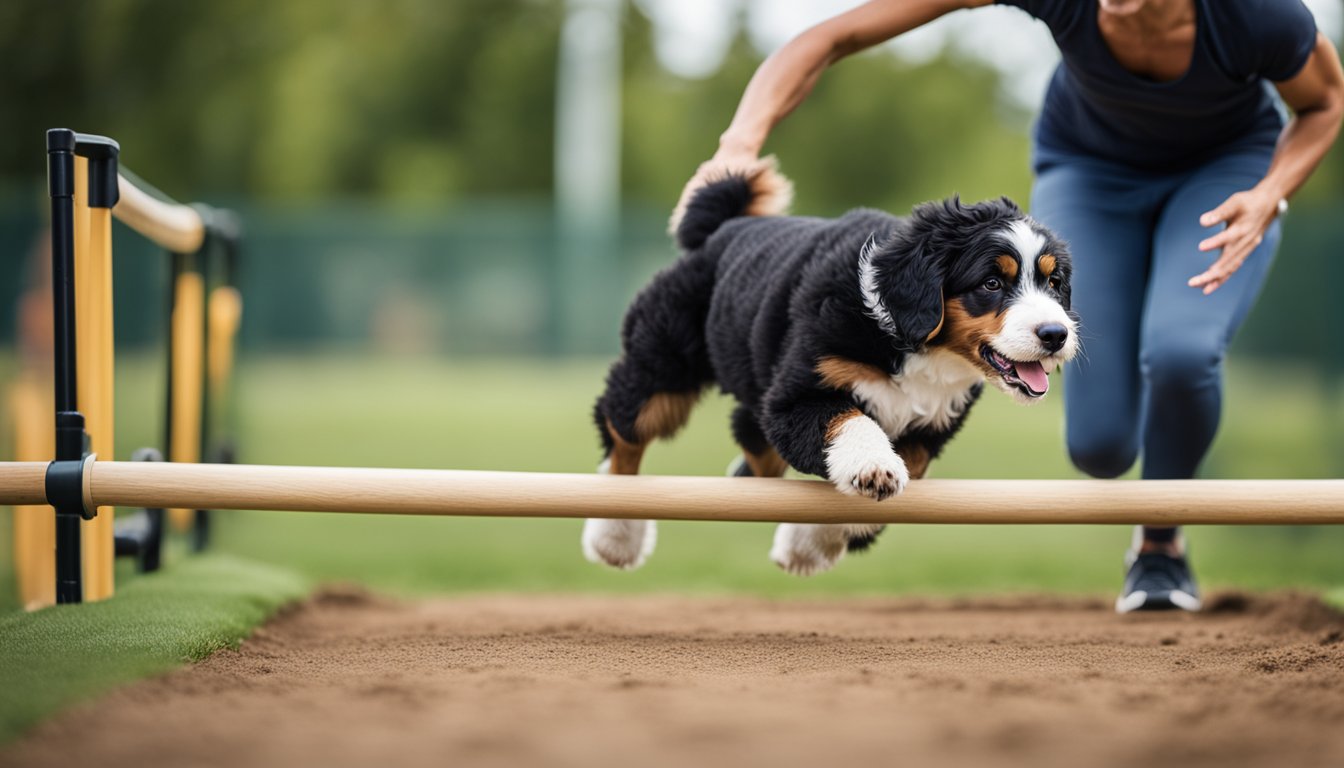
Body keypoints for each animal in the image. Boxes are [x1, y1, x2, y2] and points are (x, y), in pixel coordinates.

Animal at [583, 158, 1075, 575]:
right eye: (991, 283)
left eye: (1054, 282)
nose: (1056, 334)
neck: (912, 340)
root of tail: (725, 226)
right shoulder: (800, 393)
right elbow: (849, 421)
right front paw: (872, 467)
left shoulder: (930, 427)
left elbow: (876, 497)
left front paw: (807, 545)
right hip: (663, 362)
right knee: (623, 430)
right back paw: (615, 536)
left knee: (750, 437)